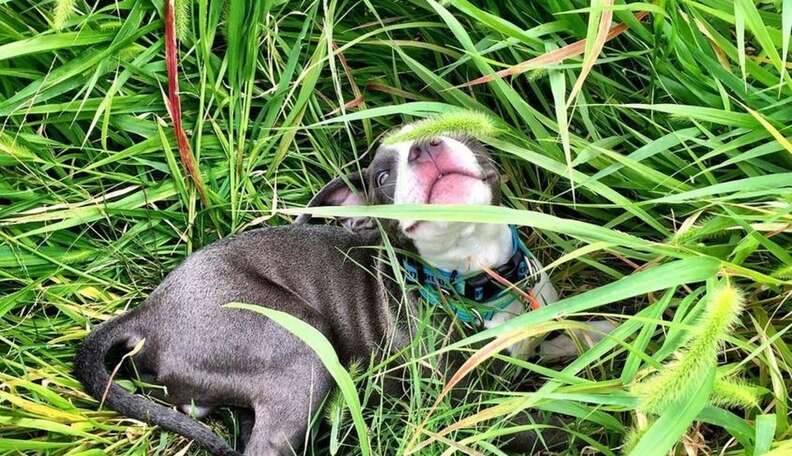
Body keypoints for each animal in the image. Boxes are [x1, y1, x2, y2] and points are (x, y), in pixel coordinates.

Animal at [76, 129, 608, 456]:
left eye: (462, 133)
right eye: (383, 176)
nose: (426, 147)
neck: (481, 279)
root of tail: (148, 313)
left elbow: (574, 331)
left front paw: (607, 330)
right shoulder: (465, 407)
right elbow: (539, 424)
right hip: (300, 347)